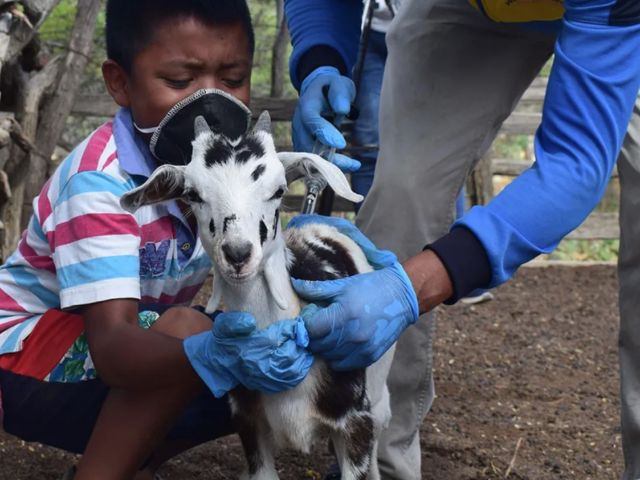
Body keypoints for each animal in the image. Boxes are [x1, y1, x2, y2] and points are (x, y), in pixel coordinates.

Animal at [120, 112, 395, 480]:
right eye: (192, 194)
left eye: (278, 190)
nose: (238, 253)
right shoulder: (250, 425)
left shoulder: (355, 423)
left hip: (378, 405)